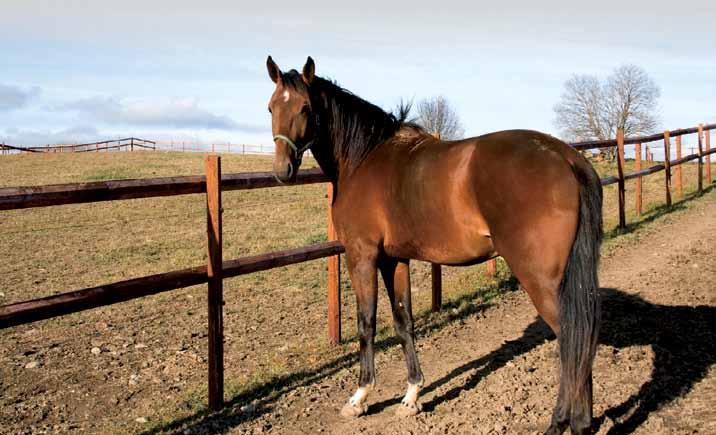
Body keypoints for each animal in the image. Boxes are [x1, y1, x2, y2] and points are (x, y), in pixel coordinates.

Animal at [266, 56, 600, 434]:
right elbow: (403, 321)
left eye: (305, 107)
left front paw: (359, 397)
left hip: (540, 279)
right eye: (271, 107)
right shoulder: (394, 259)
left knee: (571, 339)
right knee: (582, 340)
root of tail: (566, 158)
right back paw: (582, 422)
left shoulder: (362, 255)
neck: (364, 158)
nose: (282, 170)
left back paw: (560, 422)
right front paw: (411, 396)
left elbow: (366, 323)